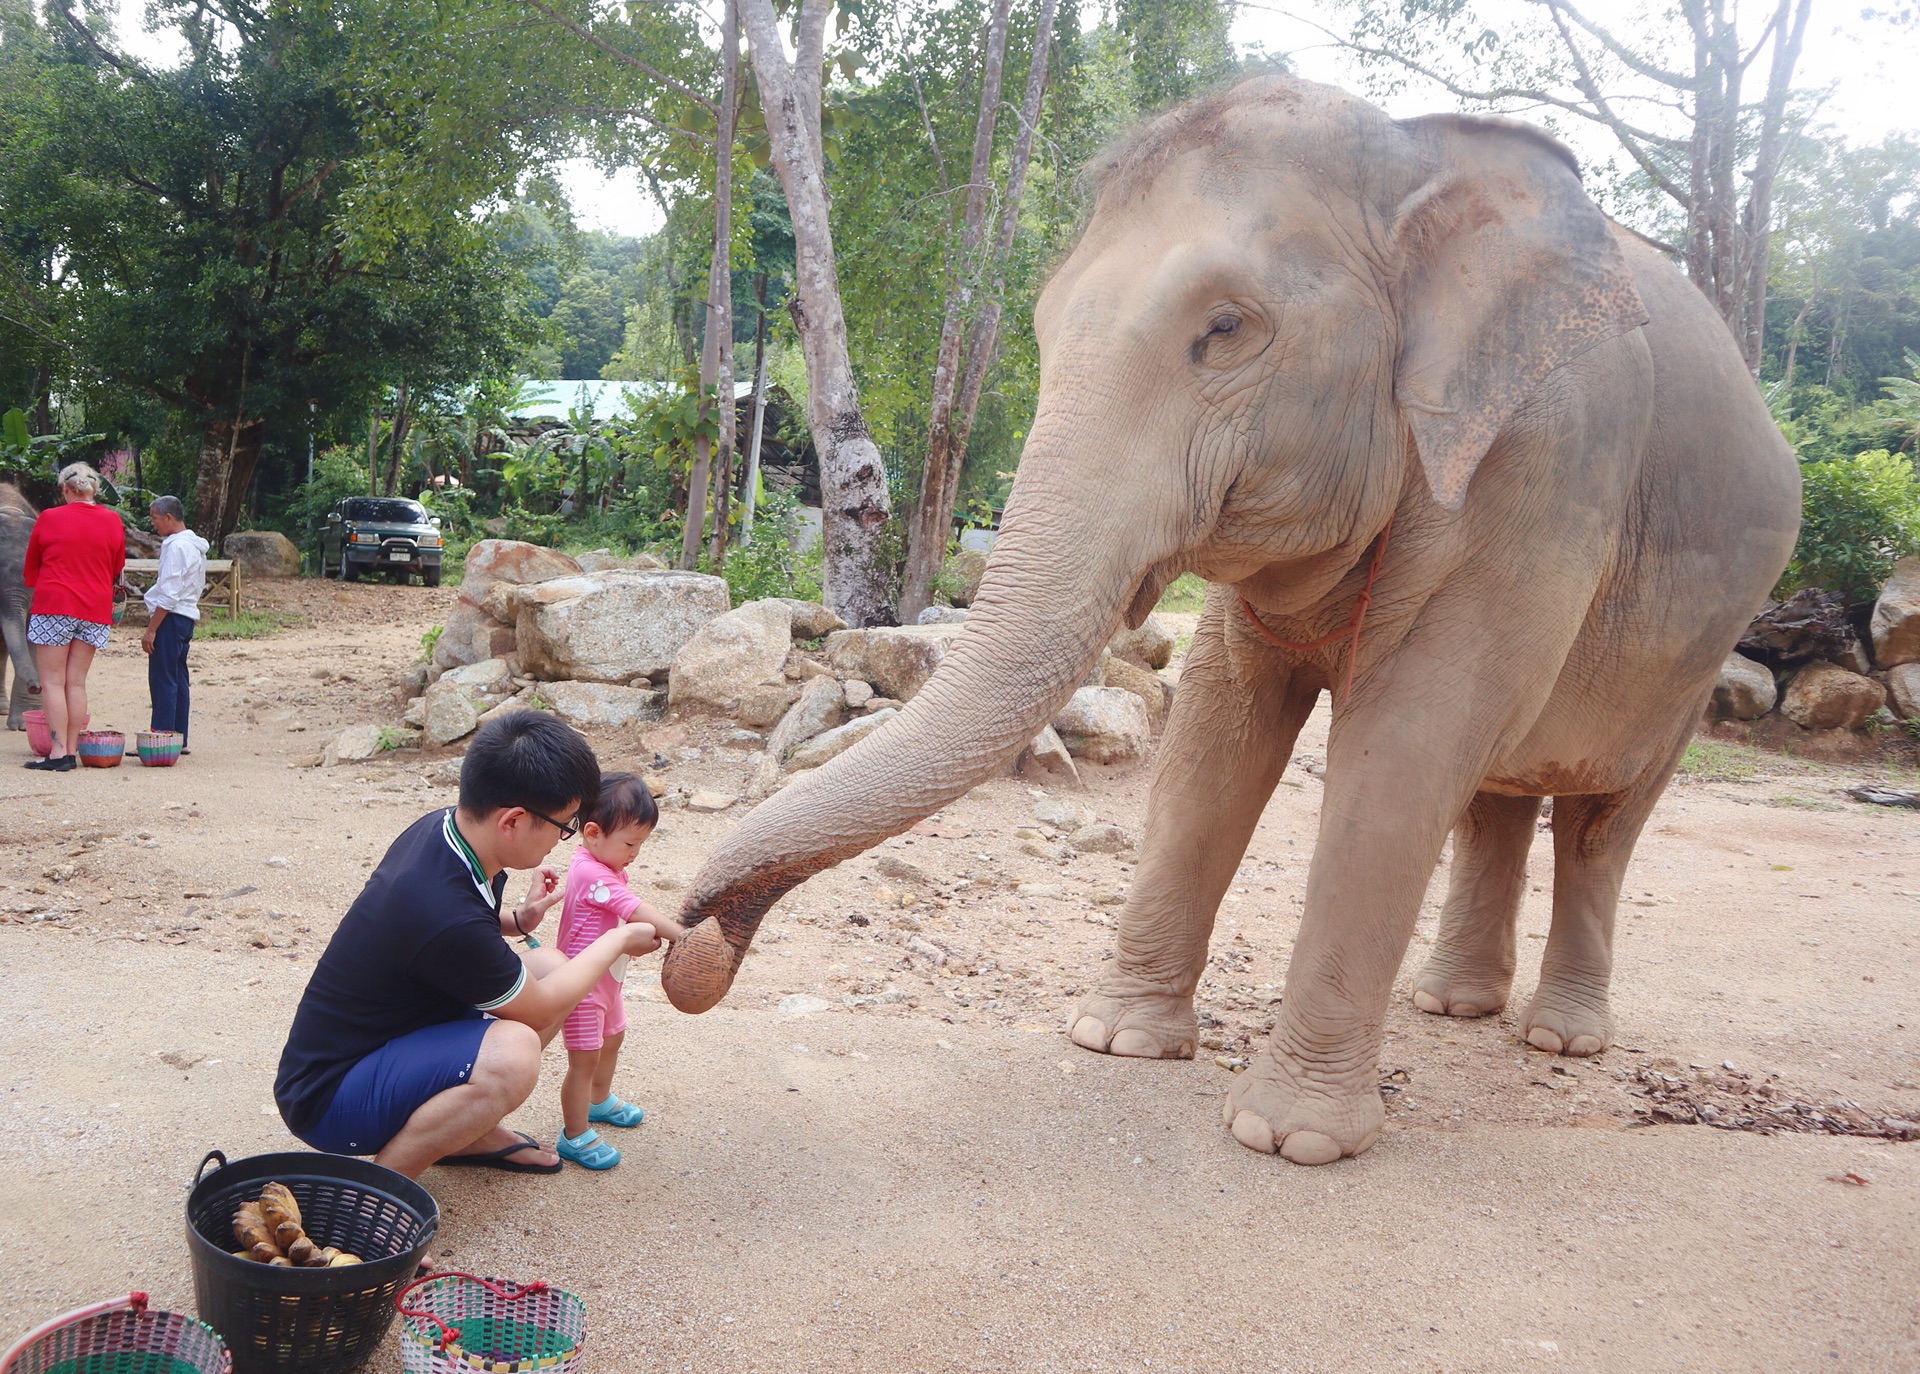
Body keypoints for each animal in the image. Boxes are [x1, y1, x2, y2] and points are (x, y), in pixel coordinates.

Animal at [660, 77, 1797, 1166]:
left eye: (1226, 329)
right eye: (1042, 329)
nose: (693, 946)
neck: (1416, 156)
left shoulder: (1547, 465)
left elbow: (1412, 739)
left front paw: (1293, 1140)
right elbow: (1218, 723)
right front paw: (1118, 1042)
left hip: (1698, 656)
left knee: (1603, 822)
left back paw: (1561, 1037)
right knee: (1495, 798)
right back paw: (1450, 1004)